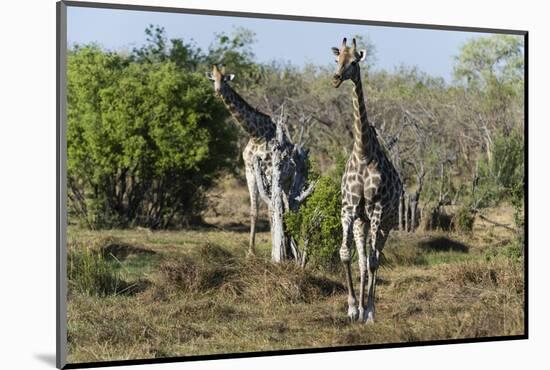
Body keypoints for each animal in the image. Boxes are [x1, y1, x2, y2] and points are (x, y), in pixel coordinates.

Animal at [206, 65, 276, 256]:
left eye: (224, 80)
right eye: (213, 79)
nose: (217, 91)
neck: (256, 135)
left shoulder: (268, 169)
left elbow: (270, 209)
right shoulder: (249, 170)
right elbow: (254, 211)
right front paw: (250, 252)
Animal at [332, 38, 406, 324]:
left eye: (354, 62)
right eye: (336, 59)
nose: (336, 78)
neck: (363, 152)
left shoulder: (376, 209)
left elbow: (374, 260)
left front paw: (370, 311)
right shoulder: (350, 209)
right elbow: (346, 254)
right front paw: (353, 308)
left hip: (386, 223)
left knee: (376, 257)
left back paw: (370, 309)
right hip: (361, 223)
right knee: (363, 260)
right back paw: (361, 309)